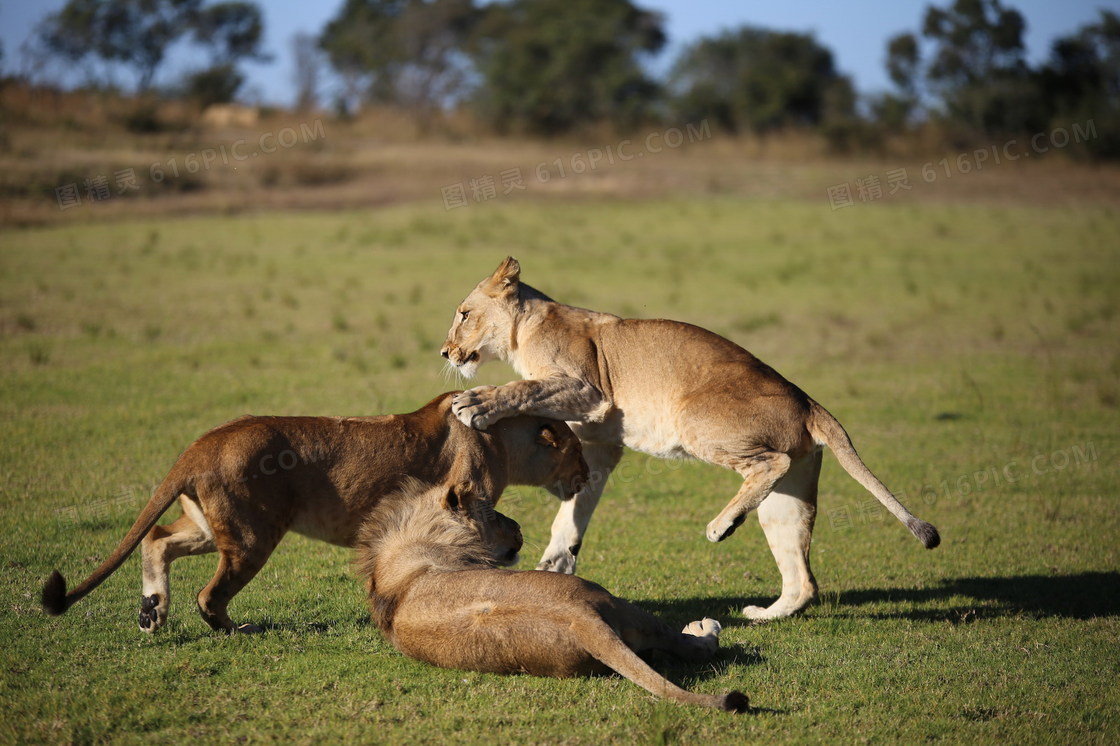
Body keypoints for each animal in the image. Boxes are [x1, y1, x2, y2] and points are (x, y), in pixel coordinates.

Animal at [41, 392, 586, 631]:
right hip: (251, 536)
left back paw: (151, 612)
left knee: (156, 540)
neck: (502, 438)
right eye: (578, 450)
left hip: (212, 527)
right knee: (208, 595)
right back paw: (233, 630)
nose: (585, 476)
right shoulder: (464, 501)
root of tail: (200, 445)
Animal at [358, 479, 748, 712]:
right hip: (616, 601)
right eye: (493, 513)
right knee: (689, 646)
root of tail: (580, 619)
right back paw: (704, 629)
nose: (518, 526)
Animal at [441, 258, 940, 618]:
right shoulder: (600, 443)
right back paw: (763, 613)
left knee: (769, 463)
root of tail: (807, 400)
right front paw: (556, 563)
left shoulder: (589, 391)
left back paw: (722, 526)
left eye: (464, 314)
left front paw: (476, 404)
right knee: (803, 580)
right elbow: (573, 512)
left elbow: (523, 389)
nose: (445, 352)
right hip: (788, 495)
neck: (521, 333)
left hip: (692, 417)